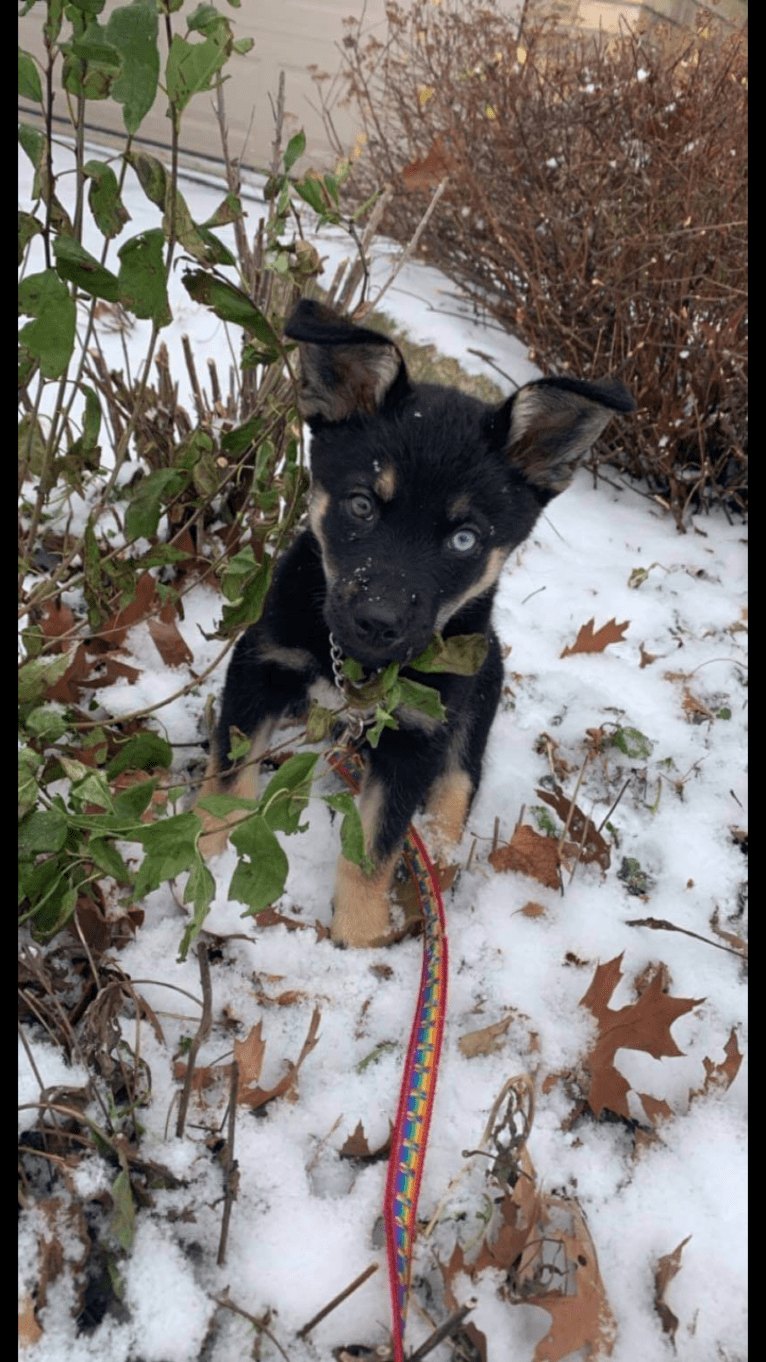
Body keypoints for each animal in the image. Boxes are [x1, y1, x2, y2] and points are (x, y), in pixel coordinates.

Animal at [196, 301, 632, 947]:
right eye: (361, 505)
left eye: (464, 539)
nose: (377, 622)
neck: (356, 670)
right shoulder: (260, 664)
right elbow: (227, 786)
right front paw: (201, 866)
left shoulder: (415, 734)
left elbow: (375, 846)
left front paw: (358, 940)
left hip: (477, 693)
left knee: (458, 786)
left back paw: (443, 862)